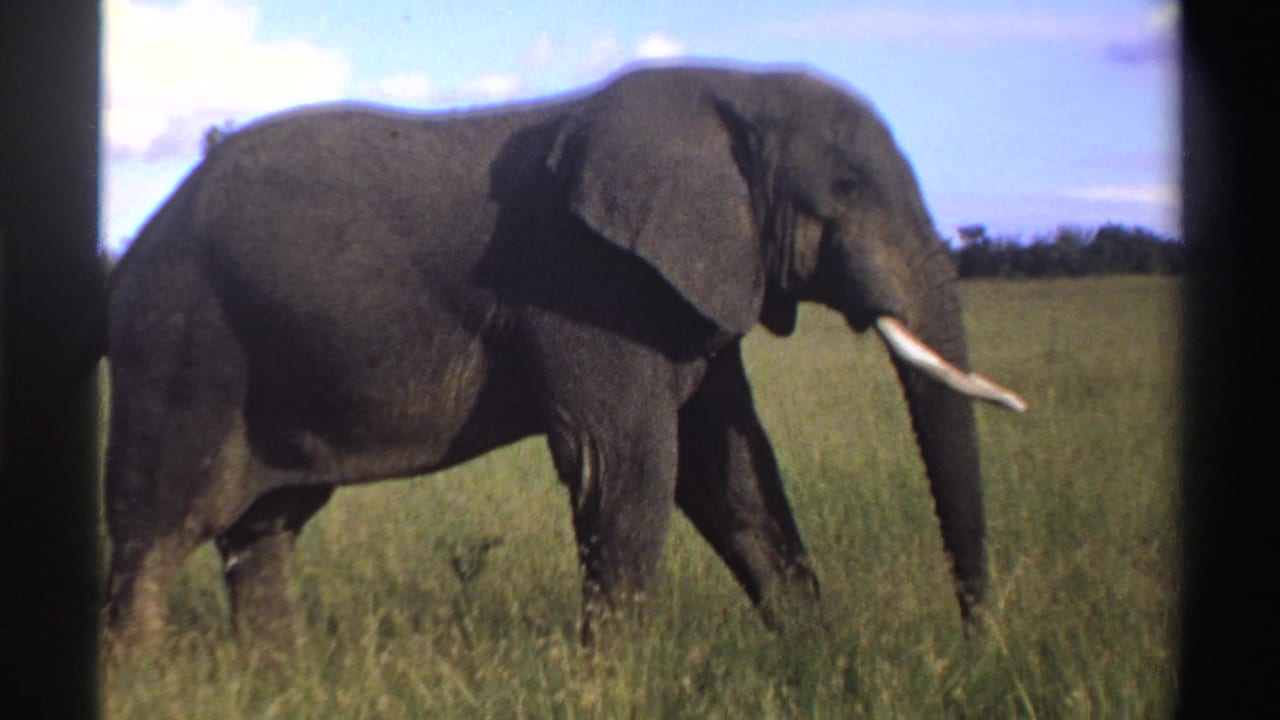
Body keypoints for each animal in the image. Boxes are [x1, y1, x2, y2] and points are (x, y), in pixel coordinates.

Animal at [102, 62, 1025, 653]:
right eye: (845, 192)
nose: (978, 642)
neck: (729, 95)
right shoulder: (588, 285)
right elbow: (626, 467)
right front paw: (616, 684)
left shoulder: (681, 291)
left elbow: (732, 471)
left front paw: (818, 661)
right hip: (179, 344)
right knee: (157, 532)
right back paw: (144, 681)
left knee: (263, 531)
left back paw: (277, 682)